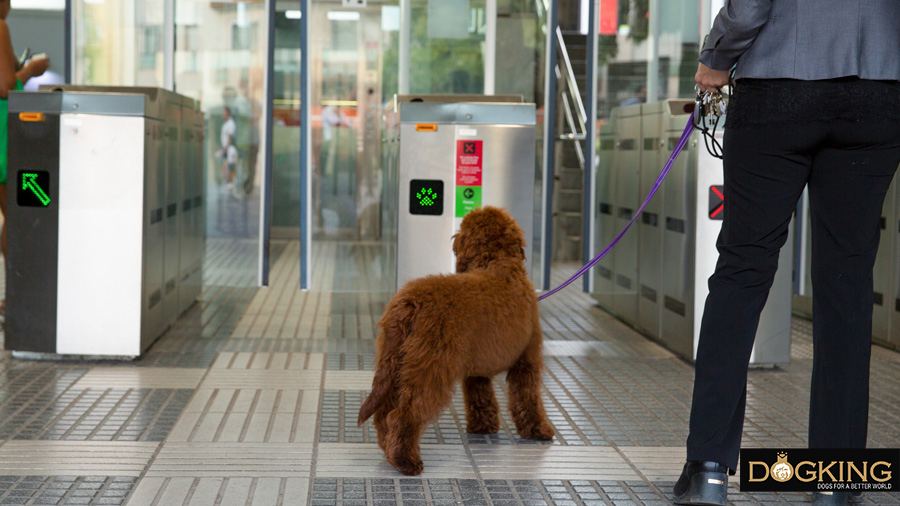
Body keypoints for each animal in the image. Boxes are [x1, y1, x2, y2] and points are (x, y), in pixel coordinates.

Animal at [358, 205, 556, 474]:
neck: (497, 262)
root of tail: (409, 302)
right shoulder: (527, 360)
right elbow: (528, 398)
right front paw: (538, 430)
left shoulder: (478, 369)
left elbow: (480, 396)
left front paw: (483, 426)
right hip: (430, 369)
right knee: (404, 414)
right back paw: (406, 461)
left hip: (396, 364)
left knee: (383, 413)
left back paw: (388, 448)